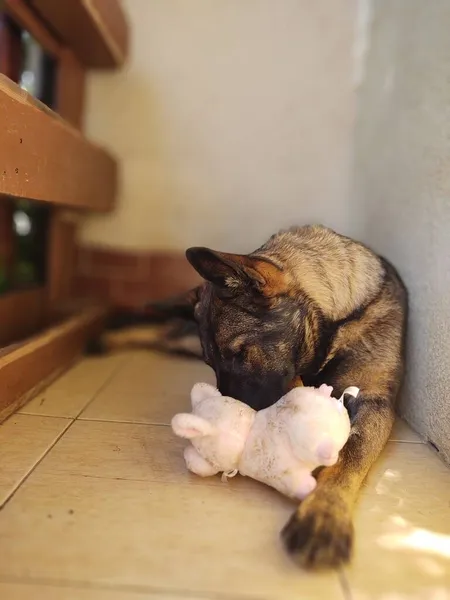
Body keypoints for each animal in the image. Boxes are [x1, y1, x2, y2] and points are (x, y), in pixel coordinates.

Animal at [91, 225, 408, 568]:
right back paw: (107, 336)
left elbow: (349, 458)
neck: (340, 316)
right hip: (183, 338)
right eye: (210, 364)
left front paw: (324, 514)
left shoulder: (373, 402)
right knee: (163, 331)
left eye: (238, 353)